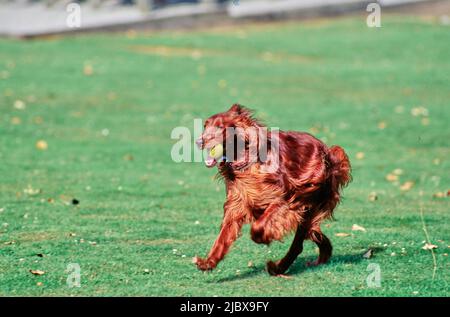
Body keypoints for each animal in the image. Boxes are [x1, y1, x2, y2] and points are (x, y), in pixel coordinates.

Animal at [193, 104, 352, 274]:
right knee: (313, 232)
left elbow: (258, 226)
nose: (198, 142)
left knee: (298, 243)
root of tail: (327, 151)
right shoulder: (237, 204)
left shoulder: (285, 200)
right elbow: (223, 237)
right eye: (205, 125)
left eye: (220, 127)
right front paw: (208, 262)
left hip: (310, 199)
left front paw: (262, 237)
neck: (247, 163)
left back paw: (278, 267)